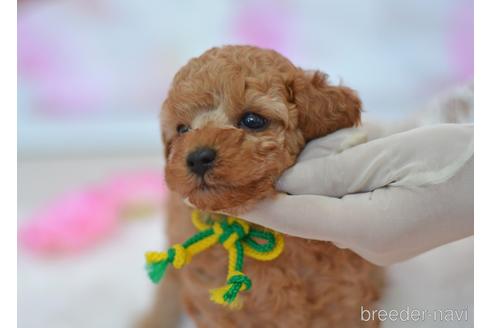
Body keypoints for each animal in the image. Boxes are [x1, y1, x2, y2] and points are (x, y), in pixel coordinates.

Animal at [144, 45, 382, 328]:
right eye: (182, 129)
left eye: (252, 120)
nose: (197, 157)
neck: (250, 225)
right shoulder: (216, 309)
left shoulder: (345, 297)